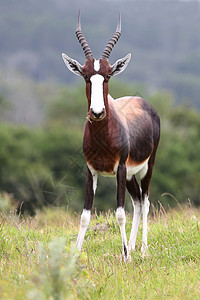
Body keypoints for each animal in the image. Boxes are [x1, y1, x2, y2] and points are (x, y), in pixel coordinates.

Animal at [61, 12, 160, 260]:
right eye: (85, 75)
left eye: (107, 75)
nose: (97, 112)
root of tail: (145, 103)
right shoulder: (91, 170)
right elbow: (85, 215)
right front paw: (76, 253)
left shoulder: (120, 169)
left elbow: (120, 213)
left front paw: (125, 257)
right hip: (131, 175)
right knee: (137, 201)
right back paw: (132, 246)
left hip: (146, 167)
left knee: (145, 201)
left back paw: (141, 250)